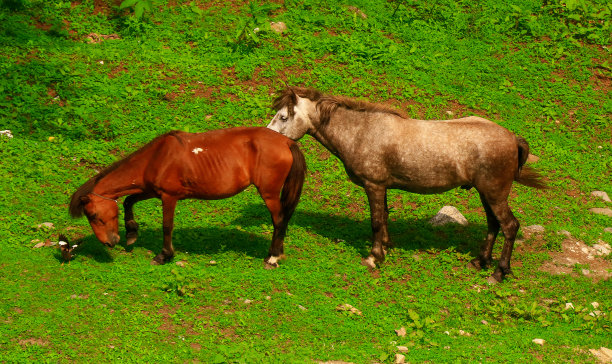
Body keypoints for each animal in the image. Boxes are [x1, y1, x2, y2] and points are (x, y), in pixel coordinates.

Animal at [69, 126, 306, 268]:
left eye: (93, 215)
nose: (109, 243)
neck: (158, 156)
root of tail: (286, 142)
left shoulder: (168, 197)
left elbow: (167, 226)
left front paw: (164, 255)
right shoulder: (150, 191)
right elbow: (128, 201)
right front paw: (132, 233)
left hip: (269, 194)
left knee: (279, 221)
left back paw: (272, 257)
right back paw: (278, 253)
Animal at [268, 86, 544, 282]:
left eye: (283, 116)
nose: (268, 138)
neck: (362, 131)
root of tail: (512, 138)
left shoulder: (374, 185)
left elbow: (376, 221)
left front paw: (374, 257)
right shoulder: (382, 187)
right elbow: (384, 216)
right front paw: (385, 247)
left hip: (494, 193)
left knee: (509, 226)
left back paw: (499, 272)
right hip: (486, 194)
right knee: (493, 225)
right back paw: (480, 261)